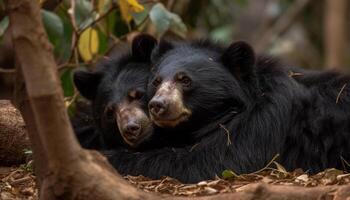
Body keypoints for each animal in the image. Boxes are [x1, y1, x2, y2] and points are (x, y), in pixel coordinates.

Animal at [106, 38, 350, 184]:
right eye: (156, 81)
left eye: (185, 80)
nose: (158, 105)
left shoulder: (269, 118)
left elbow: (217, 160)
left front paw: (110, 156)